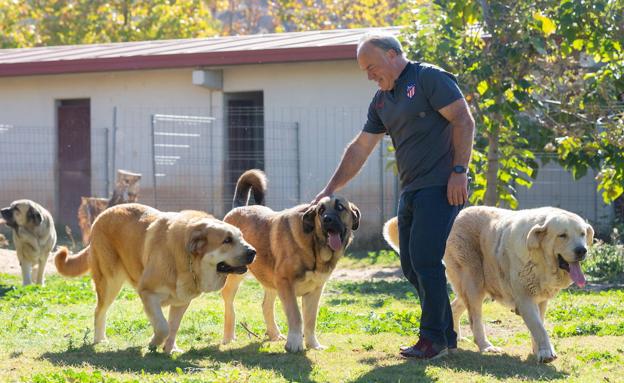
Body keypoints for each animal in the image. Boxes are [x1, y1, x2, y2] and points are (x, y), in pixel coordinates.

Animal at [386, 207, 596, 364]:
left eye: (582, 234)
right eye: (562, 235)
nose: (582, 250)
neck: (540, 259)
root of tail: (457, 215)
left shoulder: (541, 299)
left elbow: (539, 324)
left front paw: (538, 349)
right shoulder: (525, 298)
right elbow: (538, 326)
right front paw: (546, 352)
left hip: (478, 284)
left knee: (455, 305)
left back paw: (456, 338)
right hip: (473, 280)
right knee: (475, 319)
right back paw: (485, 346)